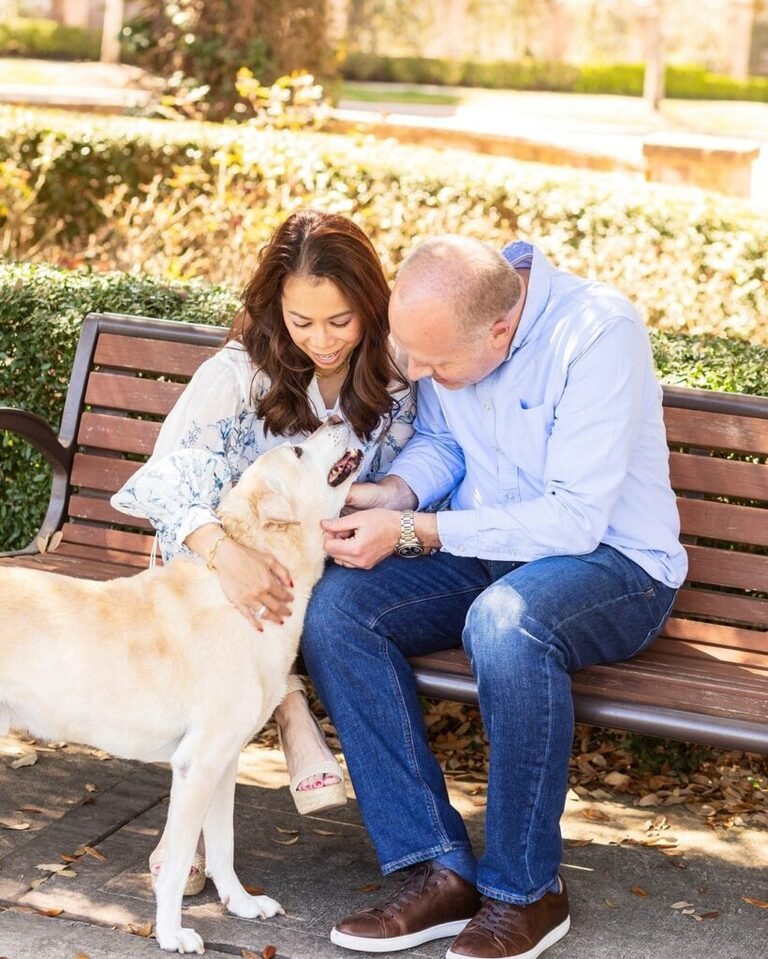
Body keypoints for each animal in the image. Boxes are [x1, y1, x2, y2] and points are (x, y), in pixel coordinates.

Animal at [0, 418, 364, 952]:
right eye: (298, 450)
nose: (338, 419)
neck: (239, 596)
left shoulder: (225, 760)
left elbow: (223, 845)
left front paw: (241, 905)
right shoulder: (196, 765)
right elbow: (175, 862)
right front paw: (171, 934)